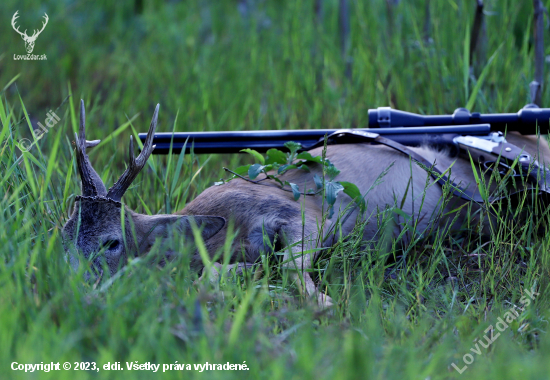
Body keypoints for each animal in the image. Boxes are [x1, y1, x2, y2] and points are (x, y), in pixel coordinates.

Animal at [62, 101, 550, 306]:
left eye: (111, 242)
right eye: (61, 238)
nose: (70, 287)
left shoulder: (303, 216)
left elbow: (291, 270)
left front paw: (327, 305)